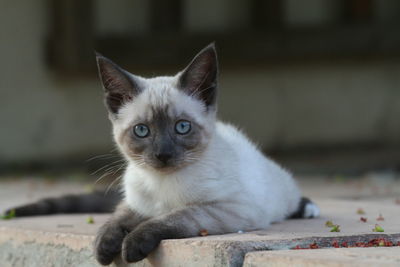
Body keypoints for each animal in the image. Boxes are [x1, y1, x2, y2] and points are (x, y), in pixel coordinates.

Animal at [3, 44, 318, 266]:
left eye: (182, 127)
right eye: (142, 131)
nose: (162, 154)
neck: (162, 186)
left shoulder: (231, 208)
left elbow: (174, 218)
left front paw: (132, 245)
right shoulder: (135, 202)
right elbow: (117, 218)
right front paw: (104, 246)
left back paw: (308, 208)